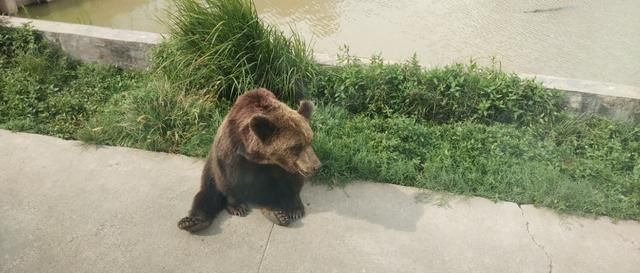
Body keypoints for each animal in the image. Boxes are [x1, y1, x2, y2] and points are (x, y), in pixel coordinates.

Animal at [178, 87, 322, 232]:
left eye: (309, 141)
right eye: (296, 146)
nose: (316, 166)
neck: (257, 156)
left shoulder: (282, 166)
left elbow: (291, 181)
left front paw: (295, 209)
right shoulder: (231, 150)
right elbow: (228, 178)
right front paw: (237, 207)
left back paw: (276, 213)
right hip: (211, 177)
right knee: (207, 195)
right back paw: (192, 222)